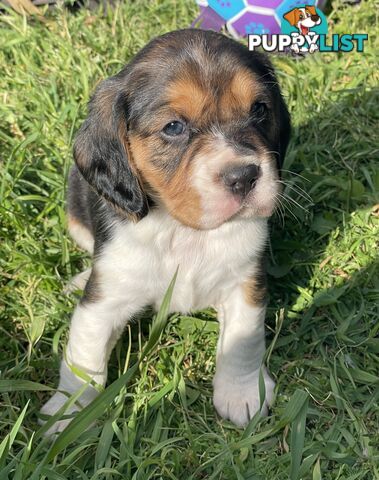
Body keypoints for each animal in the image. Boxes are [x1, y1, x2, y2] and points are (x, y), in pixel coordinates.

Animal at [40, 28, 290, 434]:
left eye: (259, 110)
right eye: (174, 127)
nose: (244, 175)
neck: (184, 229)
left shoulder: (244, 283)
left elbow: (243, 340)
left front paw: (241, 394)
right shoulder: (103, 303)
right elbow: (84, 358)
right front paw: (69, 414)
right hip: (75, 208)